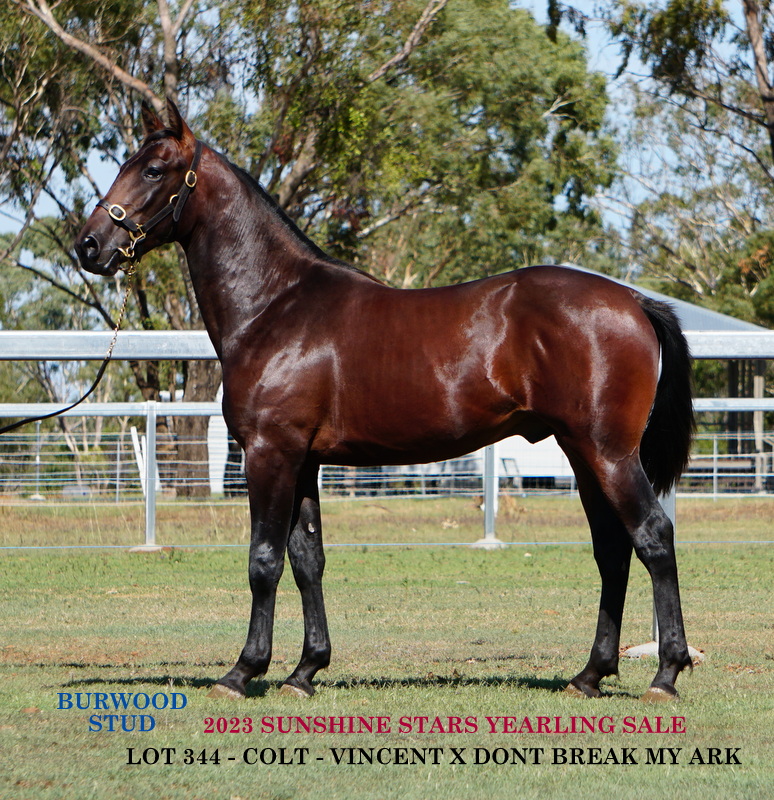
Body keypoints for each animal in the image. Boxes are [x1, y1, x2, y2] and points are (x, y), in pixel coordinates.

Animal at [76, 100, 695, 703]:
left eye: (154, 169)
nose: (89, 245)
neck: (275, 305)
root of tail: (635, 301)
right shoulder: (304, 461)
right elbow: (307, 561)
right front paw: (305, 671)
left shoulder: (269, 453)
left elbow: (263, 560)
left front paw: (242, 672)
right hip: (583, 455)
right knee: (612, 550)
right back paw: (590, 674)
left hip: (608, 453)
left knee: (653, 538)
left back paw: (665, 675)